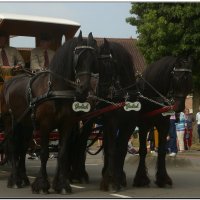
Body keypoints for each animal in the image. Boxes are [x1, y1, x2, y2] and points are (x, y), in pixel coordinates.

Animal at [0, 31, 99, 194]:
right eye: (78, 57)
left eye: (93, 59)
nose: (84, 90)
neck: (56, 89)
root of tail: (10, 81)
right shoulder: (45, 126)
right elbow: (45, 154)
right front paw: (41, 185)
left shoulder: (66, 125)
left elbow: (63, 153)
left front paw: (62, 185)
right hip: (10, 121)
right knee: (13, 147)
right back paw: (14, 180)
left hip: (26, 125)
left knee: (22, 148)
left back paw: (23, 178)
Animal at [134, 55, 193, 188]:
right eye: (176, 78)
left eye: (189, 80)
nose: (179, 107)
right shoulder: (143, 127)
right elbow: (143, 150)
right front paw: (141, 178)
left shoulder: (164, 126)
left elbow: (161, 151)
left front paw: (163, 178)